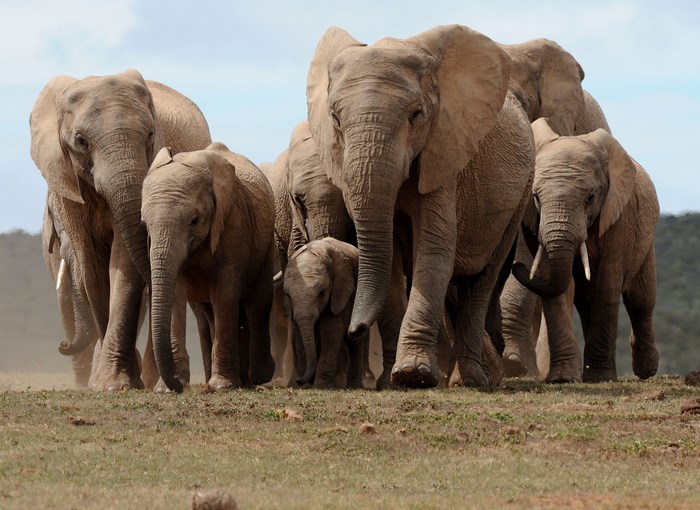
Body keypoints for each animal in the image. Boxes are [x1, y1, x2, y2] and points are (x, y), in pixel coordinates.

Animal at [30, 70, 211, 390]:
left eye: (150, 135)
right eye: (80, 141)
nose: (62, 345)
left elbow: (123, 263)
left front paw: (116, 383)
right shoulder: (67, 186)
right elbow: (92, 270)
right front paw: (110, 382)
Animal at [141, 143, 276, 392]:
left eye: (194, 220)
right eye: (145, 224)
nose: (179, 387)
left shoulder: (234, 222)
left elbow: (225, 291)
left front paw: (222, 386)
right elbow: (175, 292)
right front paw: (165, 389)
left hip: (266, 245)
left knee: (258, 303)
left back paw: (258, 378)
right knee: (212, 312)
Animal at [306, 24, 535, 388]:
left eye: (416, 115)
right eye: (335, 119)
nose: (355, 330)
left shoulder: (444, 153)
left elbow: (434, 250)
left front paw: (413, 375)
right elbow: (391, 260)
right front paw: (393, 382)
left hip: (521, 193)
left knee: (481, 280)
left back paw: (470, 380)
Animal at [511, 118, 659, 382]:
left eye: (590, 198)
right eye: (536, 197)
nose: (517, 265)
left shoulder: (619, 216)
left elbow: (608, 285)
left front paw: (600, 377)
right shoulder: (533, 220)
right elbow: (558, 286)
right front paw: (563, 378)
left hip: (646, 236)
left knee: (640, 301)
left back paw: (646, 371)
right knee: (586, 302)